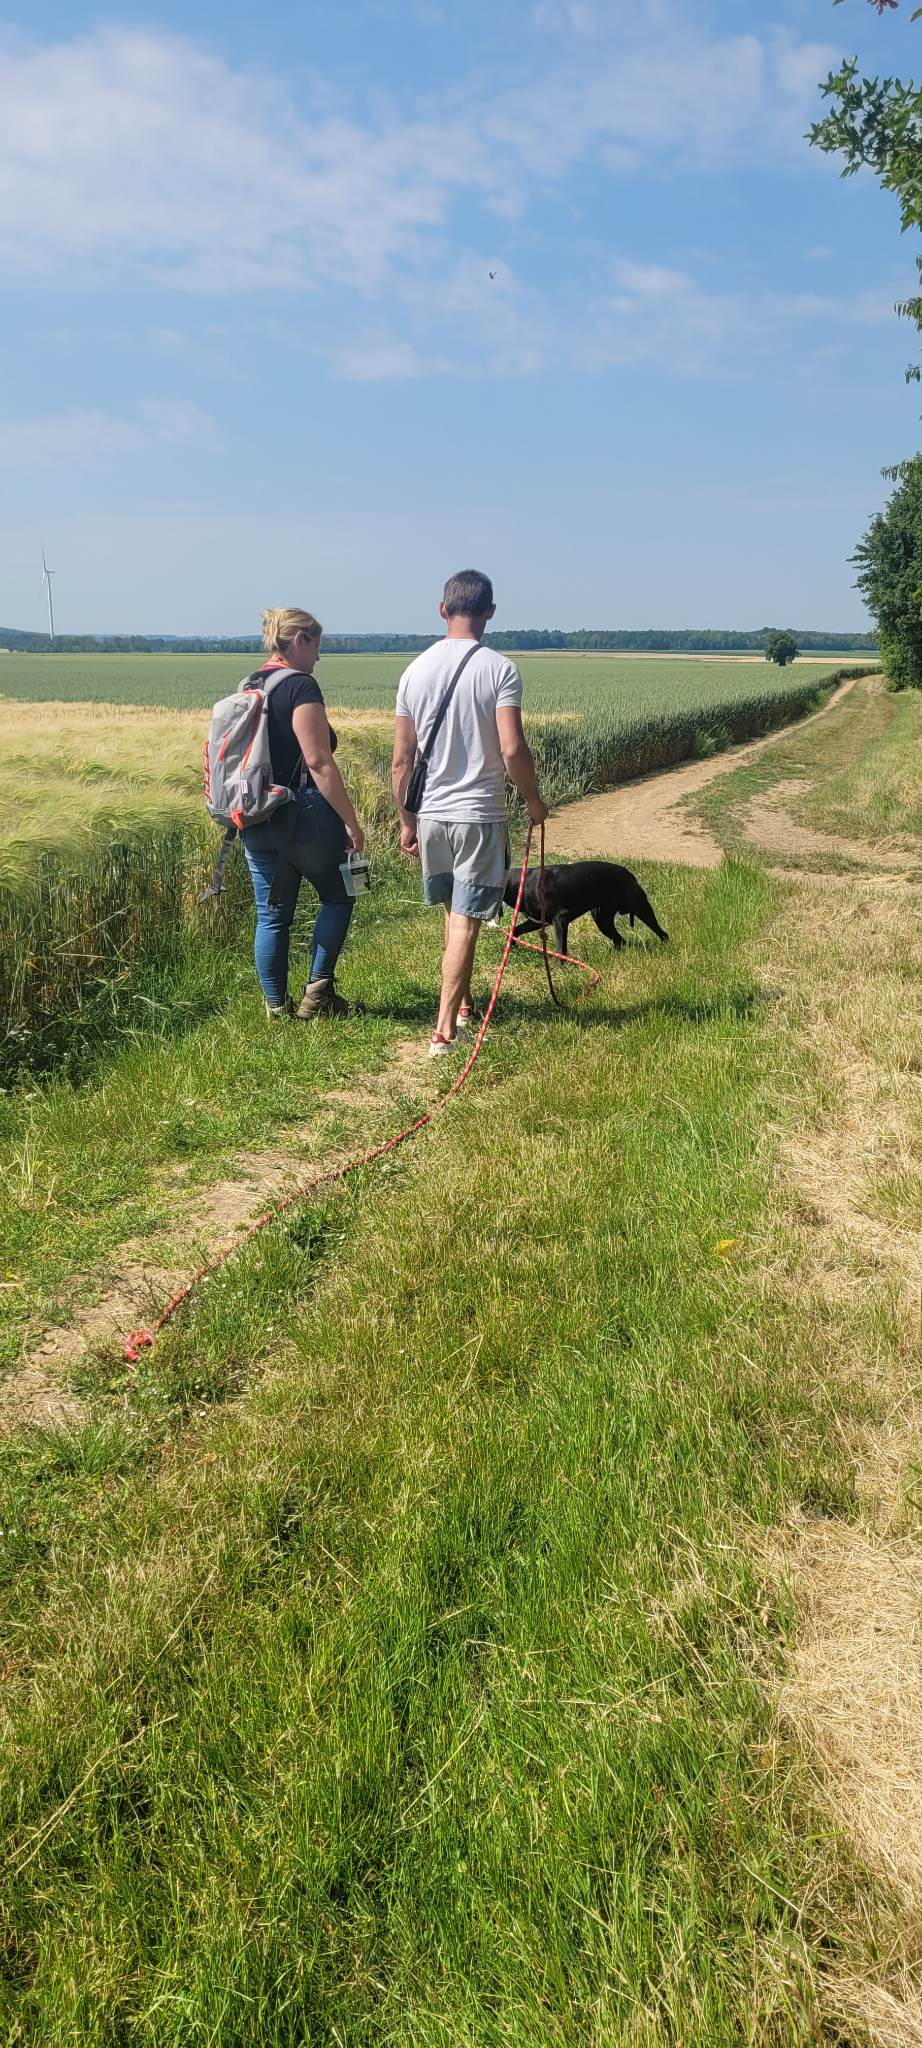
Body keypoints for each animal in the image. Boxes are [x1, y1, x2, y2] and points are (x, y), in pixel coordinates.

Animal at [502, 858, 668, 959]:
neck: (522, 884)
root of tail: (630, 874)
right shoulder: (537, 921)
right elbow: (515, 930)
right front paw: (513, 946)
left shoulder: (560, 919)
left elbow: (560, 946)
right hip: (602, 919)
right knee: (620, 940)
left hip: (641, 908)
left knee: (662, 933)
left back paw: (665, 946)